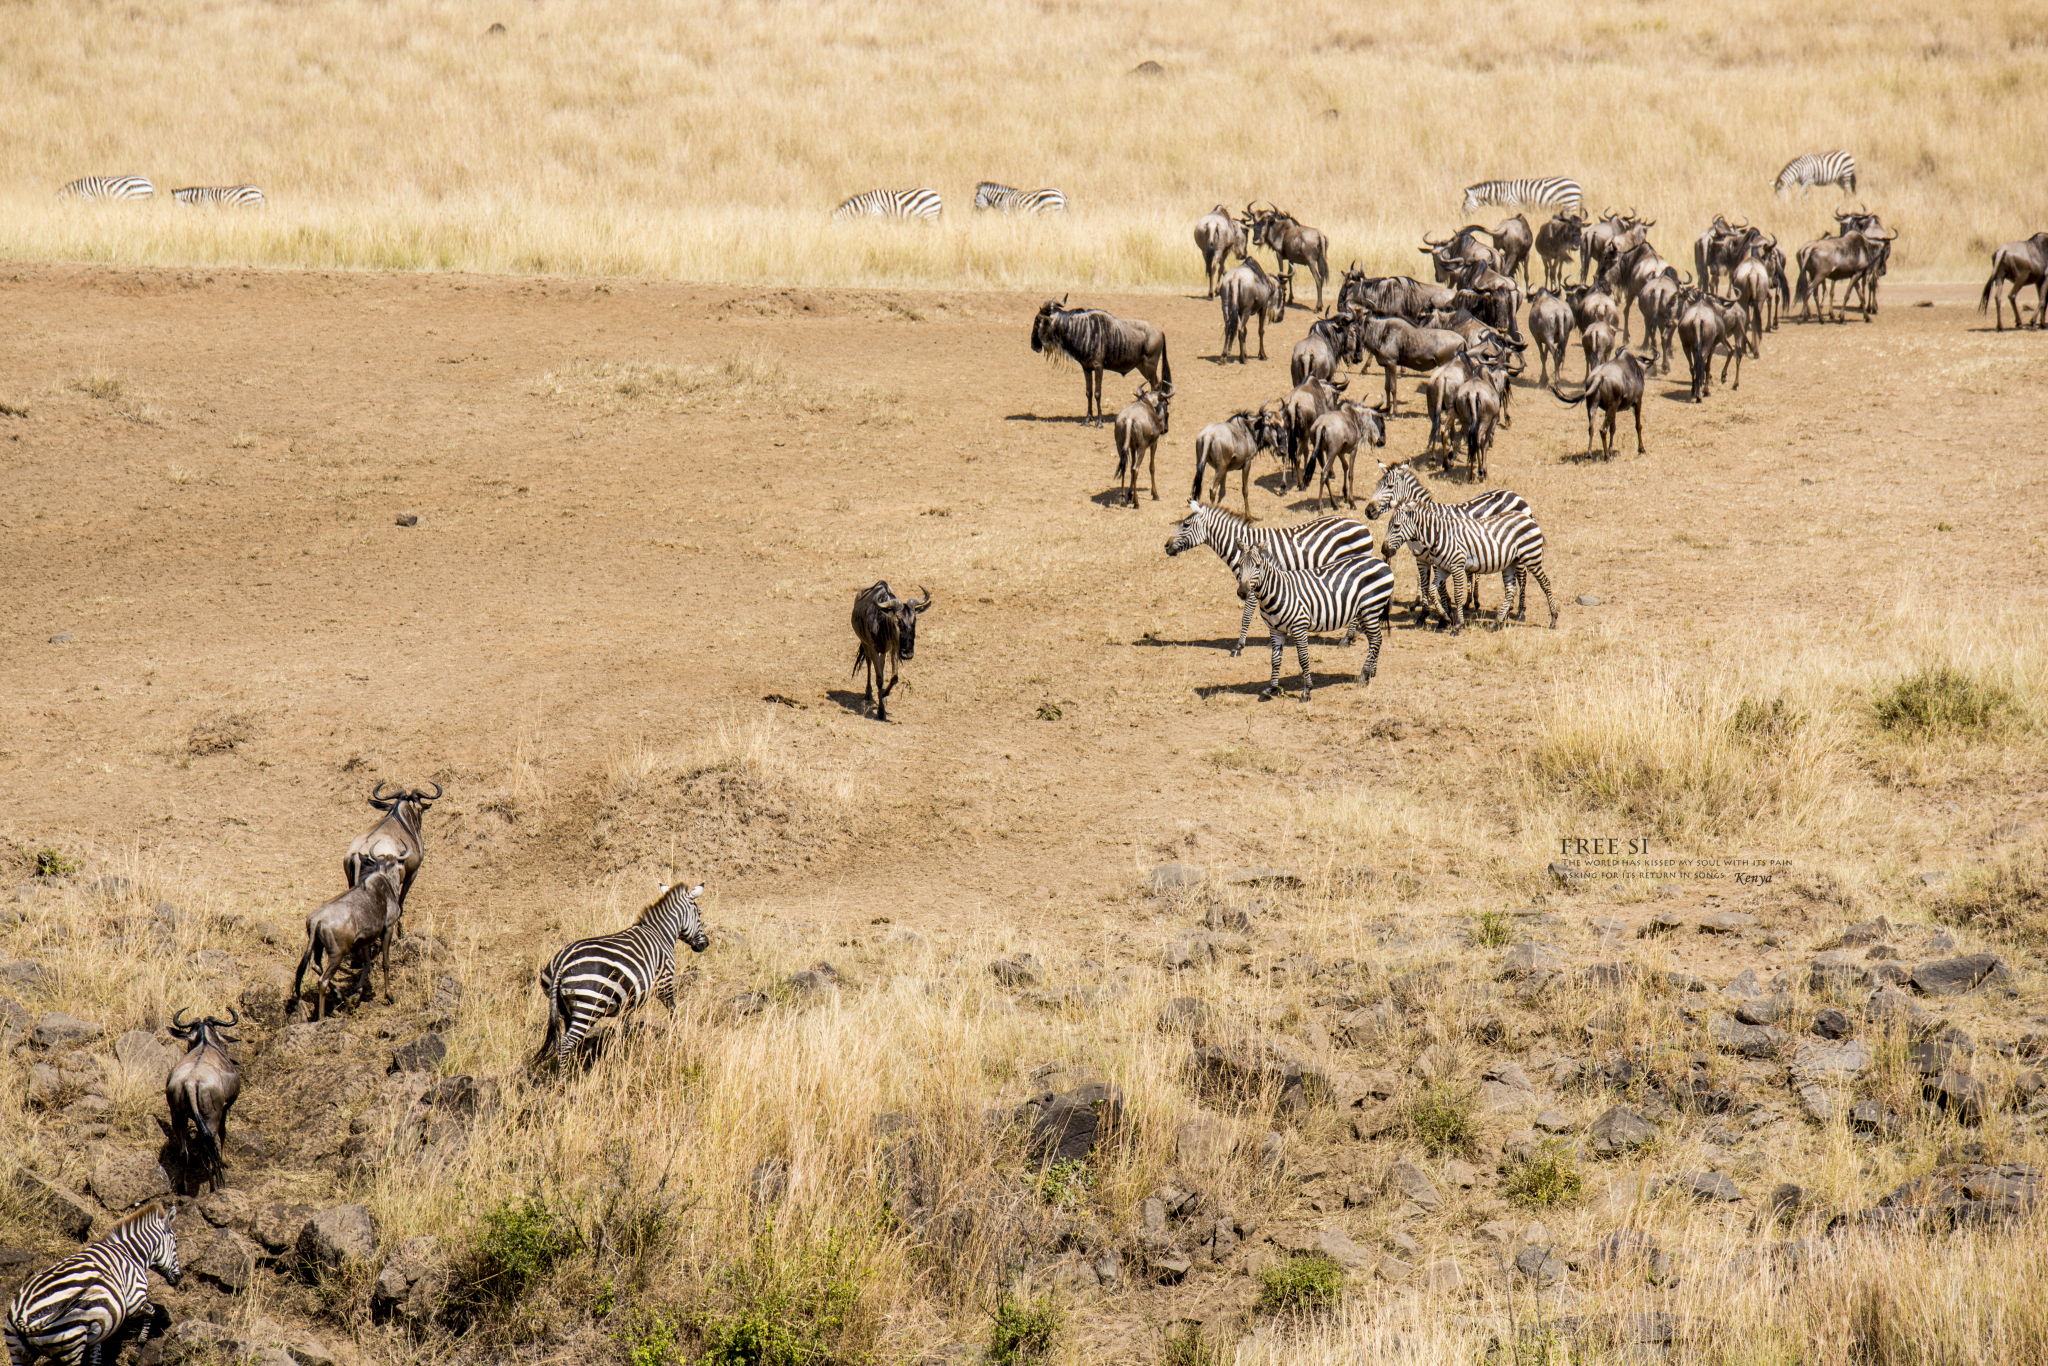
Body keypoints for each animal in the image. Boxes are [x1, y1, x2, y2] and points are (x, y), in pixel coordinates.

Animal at [6, 1196, 180, 1366]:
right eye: (176, 1243)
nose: (180, 1278)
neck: (130, 1254)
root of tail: (23, 1317)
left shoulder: (100, 1327)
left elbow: (96, 1358)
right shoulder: (135, 1299)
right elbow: (151, 1311)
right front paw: (137, 1351)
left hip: (18, 1350)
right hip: (71, 1342)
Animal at [532, 880, 708, 1073]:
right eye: (699, 914)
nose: (705, 944)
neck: (660, 933)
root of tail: (562, 962)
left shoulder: (630, 1000)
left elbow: (624, 1027)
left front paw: (622, 1053)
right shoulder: (664, 981)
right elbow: (673, 1010)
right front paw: (677, 1037)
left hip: (565, 1008)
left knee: (571, 1040)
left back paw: (575, 1068)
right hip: (589, 1005)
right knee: (566, 1042)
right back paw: (564, 1078)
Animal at [1171, 499, 1376, 659]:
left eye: (1186, 525)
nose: (1166, 546)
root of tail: (1362, 525)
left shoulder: (1251, 586)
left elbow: (1246, 616)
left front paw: (1239, 647)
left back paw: (1346, 639)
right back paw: (1350, 637)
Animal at [1220, 540, 1400, 700]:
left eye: (1257, 566)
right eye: (1239, 565)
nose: (1242, 592)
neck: (1278, 591)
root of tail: (1380, 562)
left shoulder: (1299, 627)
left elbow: (1303, 659)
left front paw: (1307, 690)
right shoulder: (1275, 629)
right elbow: (1275, 660)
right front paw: (1271, 688)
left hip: (1371, 608)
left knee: (1376, 640)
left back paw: (1363, 675)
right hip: (1364, 612)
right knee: (1375, 640)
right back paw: (1371, 672)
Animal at [1384, 497, 1556, 634]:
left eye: (1396, 526)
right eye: (1389, 525)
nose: (1383, 549)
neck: (1439, 536)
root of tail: (1528, 517)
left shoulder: (1457, 566)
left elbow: (1458, 595)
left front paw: (1457, 625)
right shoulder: (1442, 569)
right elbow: (1433, 591)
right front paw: (1446, 617)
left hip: (1531, 557)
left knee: (1545, 583)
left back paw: (1553, 619)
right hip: (1510, 563)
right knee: (1510, 590)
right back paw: (1496, 623)